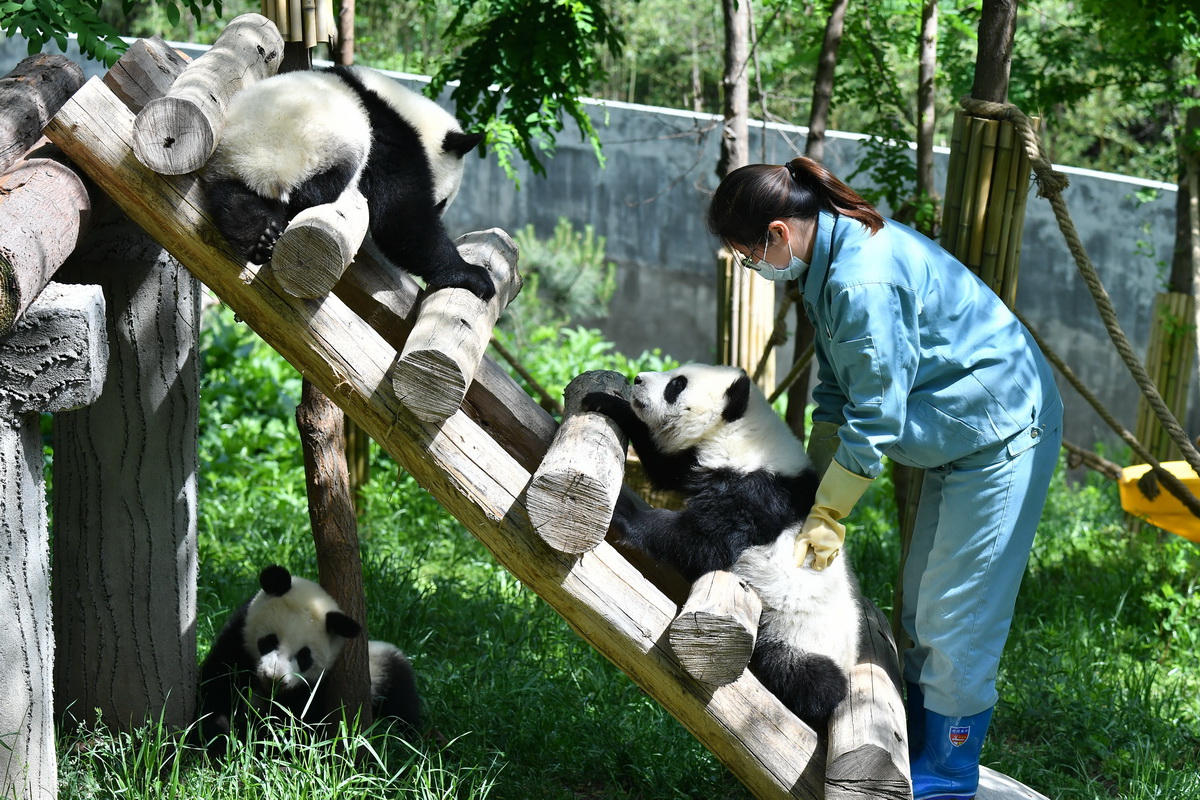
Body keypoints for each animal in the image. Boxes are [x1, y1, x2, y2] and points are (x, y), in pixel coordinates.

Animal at [196, 563, 422, 758]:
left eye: (304, 656)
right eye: (269, 641)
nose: (274, 678)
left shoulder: (320, 688)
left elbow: (300, 727)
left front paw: (255, 736)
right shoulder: (237, 640)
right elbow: (216, 682)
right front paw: (219, 731)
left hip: (388, 673)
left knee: (403, 710)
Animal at [204, 65, 494, 299]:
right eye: (443, 201)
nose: (440, 210)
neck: (408, 110)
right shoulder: (388, 137)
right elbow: (401, 219)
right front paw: (474, 276)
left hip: (238, 162)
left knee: (232, 195)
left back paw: (257, 233)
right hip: (316, 145)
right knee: (317, 190)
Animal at [580, 367, 864, 729]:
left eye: (677, 385)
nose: (639, 379)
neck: (744, 434)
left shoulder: (756, 492)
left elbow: (704, 542)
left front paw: (620, 510)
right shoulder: (705, 463)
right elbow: (666, 467)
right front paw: (605, 403)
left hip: (800, 636)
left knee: (801, 677)